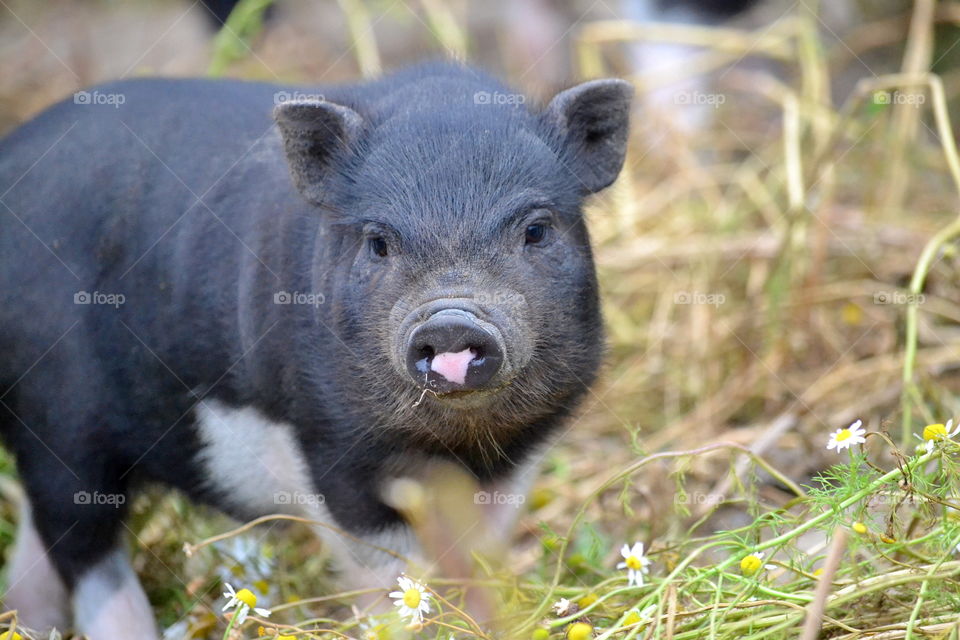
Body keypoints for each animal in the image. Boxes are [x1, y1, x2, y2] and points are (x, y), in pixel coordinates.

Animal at [0, 62, 631, 638]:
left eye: (536, 230)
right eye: (378, 241)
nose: (452, 321)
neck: (452, 443)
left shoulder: (525, 448)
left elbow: (476, 551)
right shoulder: (327, 439)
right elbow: (387, 567)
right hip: (60, 414)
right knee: (84, 550)